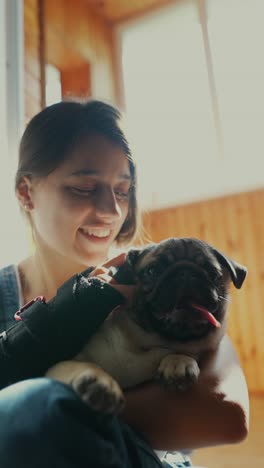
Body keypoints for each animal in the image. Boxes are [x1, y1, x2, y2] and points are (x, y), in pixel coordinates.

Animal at [46, 238, 246, 414]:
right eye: (152, 271)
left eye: (212, 273)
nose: (186, 272)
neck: (144, 343)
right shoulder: (58, 367)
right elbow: (78, 365)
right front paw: (100, 382)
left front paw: (178, 361)